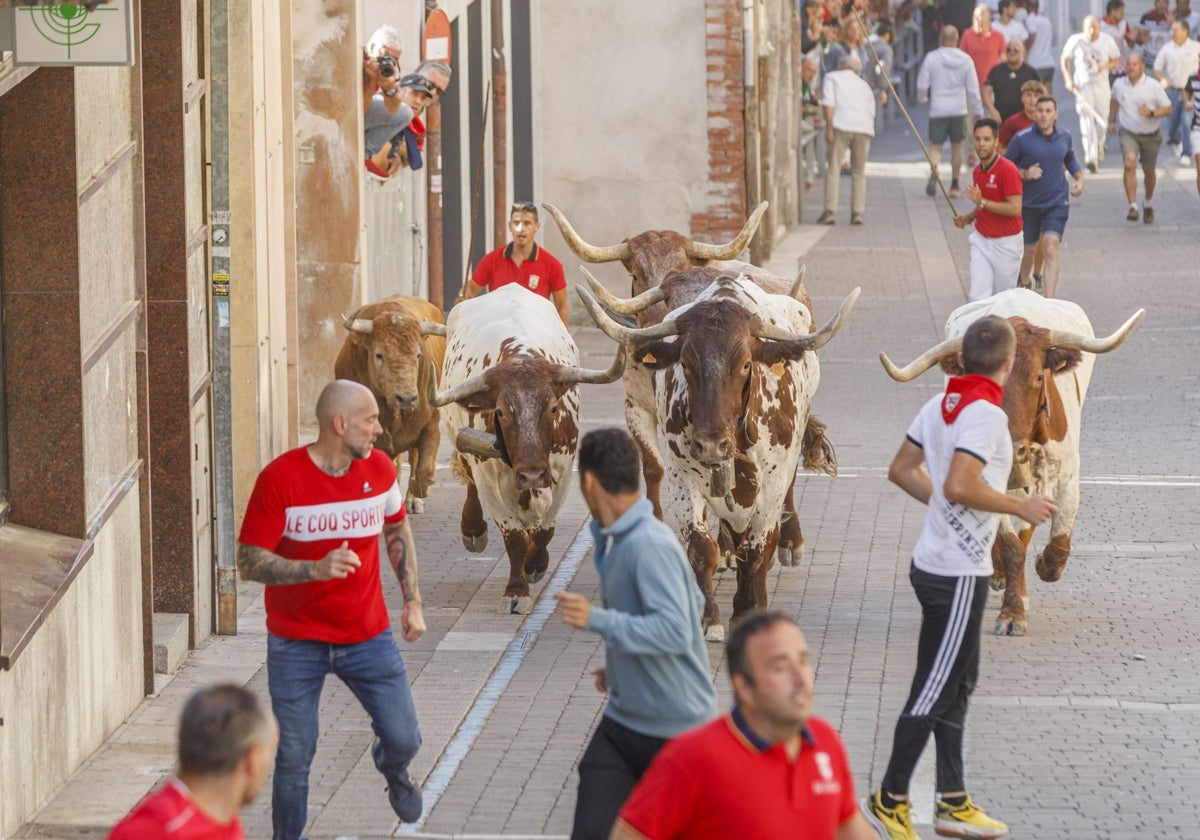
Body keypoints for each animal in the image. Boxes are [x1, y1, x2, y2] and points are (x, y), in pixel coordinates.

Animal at [336, 295, 448, 518]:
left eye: (418, 354)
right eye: (379, 354)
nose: (407, 398)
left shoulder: (431, 425)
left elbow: (424, 470)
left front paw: (417, 491)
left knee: (413, 459)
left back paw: (412, 501)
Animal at [432, 285, 624, 614]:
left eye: (553, 408)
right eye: (500, 412)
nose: (532, 474)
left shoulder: (562, 471)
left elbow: (545, 530)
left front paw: (536, 565)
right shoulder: (489, 475)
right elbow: (514, 537)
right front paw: (516, 590)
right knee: (470, 484)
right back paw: (473, 531)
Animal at [544, 200, 816, 564]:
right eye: (636, 274)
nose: (659, 328)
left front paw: (728, 547)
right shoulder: (636, 406)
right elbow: (653, 467)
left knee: (787, 476)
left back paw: (788, 540)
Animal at [883, 290, 1142, 638]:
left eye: (1038, 376)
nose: (1010, 447)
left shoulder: (1067, 475)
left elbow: (1056, 544)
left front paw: (1043, 567)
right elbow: (1010, 545)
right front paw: (1012, 611)